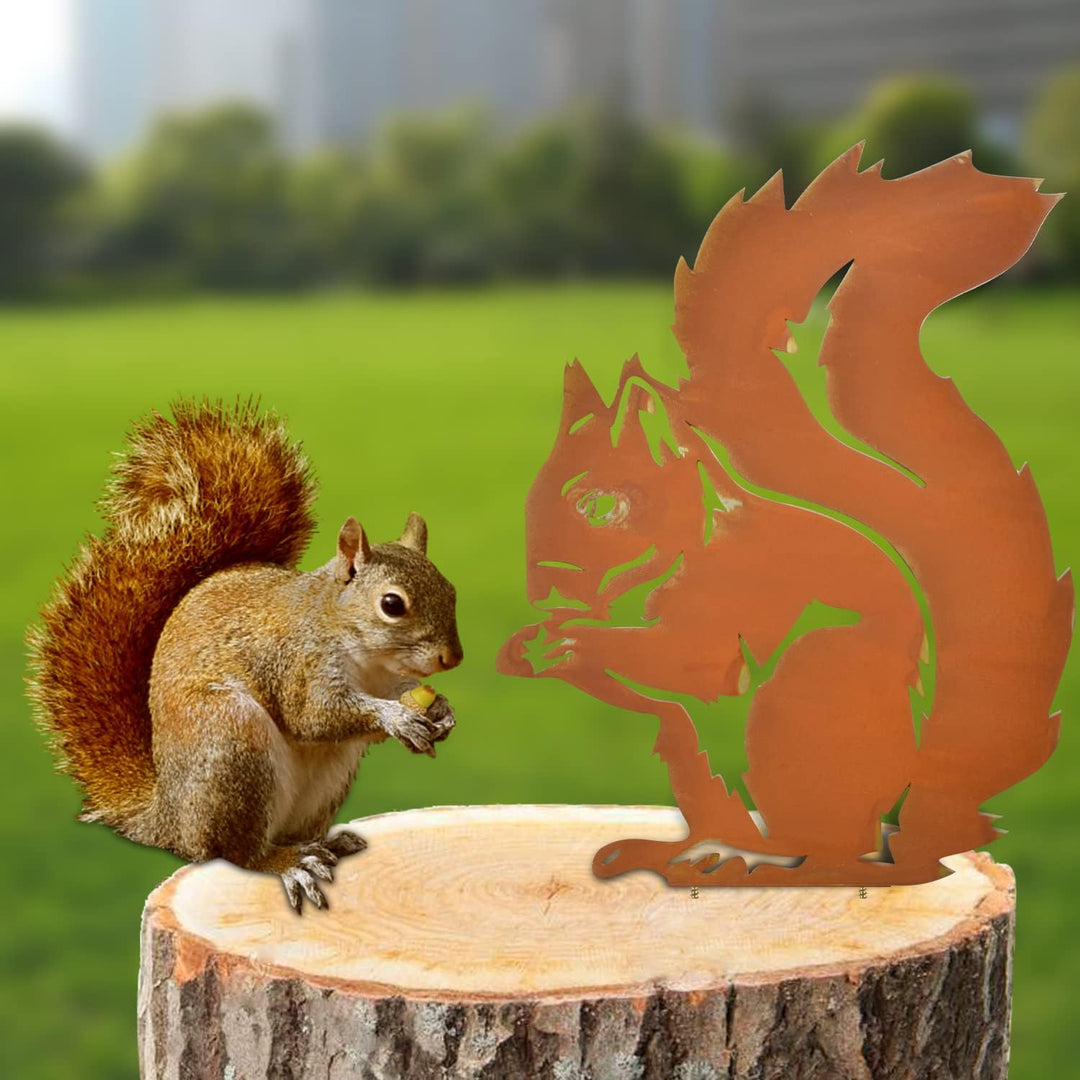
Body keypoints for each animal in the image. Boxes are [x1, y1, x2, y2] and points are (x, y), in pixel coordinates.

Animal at [27, 399, 463, 912]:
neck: (361, 652)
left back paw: (326, 844)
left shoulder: (385, 679)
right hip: (232, 743)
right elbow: (314, 715)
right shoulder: (296, 663)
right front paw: (397, 718)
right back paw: (288, 863)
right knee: (238, 852)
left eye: (450, 590)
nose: (453, 658)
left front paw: (441, 711)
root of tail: (171, 820)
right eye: (392, 604)